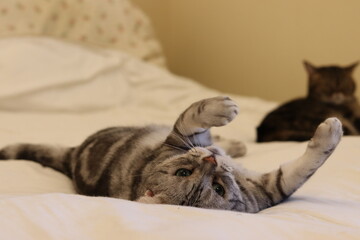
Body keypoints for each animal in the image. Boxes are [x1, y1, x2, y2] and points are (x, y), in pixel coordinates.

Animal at [0, 96, 344, 213]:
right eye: (183, 174)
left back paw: (234, 145)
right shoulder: (181, 136)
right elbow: (194, 114)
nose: (211, 161)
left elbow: (306, 165)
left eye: (217, 187)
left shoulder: (270, 187)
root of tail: (71, 157)